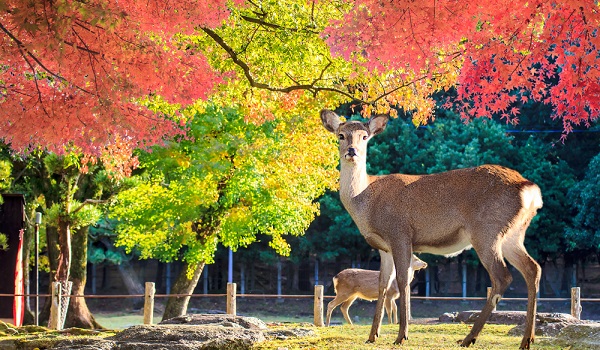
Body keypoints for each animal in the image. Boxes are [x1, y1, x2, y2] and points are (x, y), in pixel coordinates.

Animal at [324, 108, 544, 348]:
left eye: (365, 137)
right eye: (341, 135)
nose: (352, 151)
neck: (365, 202)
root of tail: (530, 189)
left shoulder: (400, 233)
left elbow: (403, 280)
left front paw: (402, 335)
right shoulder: (384, 247)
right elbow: (383, 284)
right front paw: (373, 335)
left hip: (486, 230)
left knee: (502, 276)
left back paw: (469, 338)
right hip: (513, 234)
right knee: (533, 268)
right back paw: (527, 338)